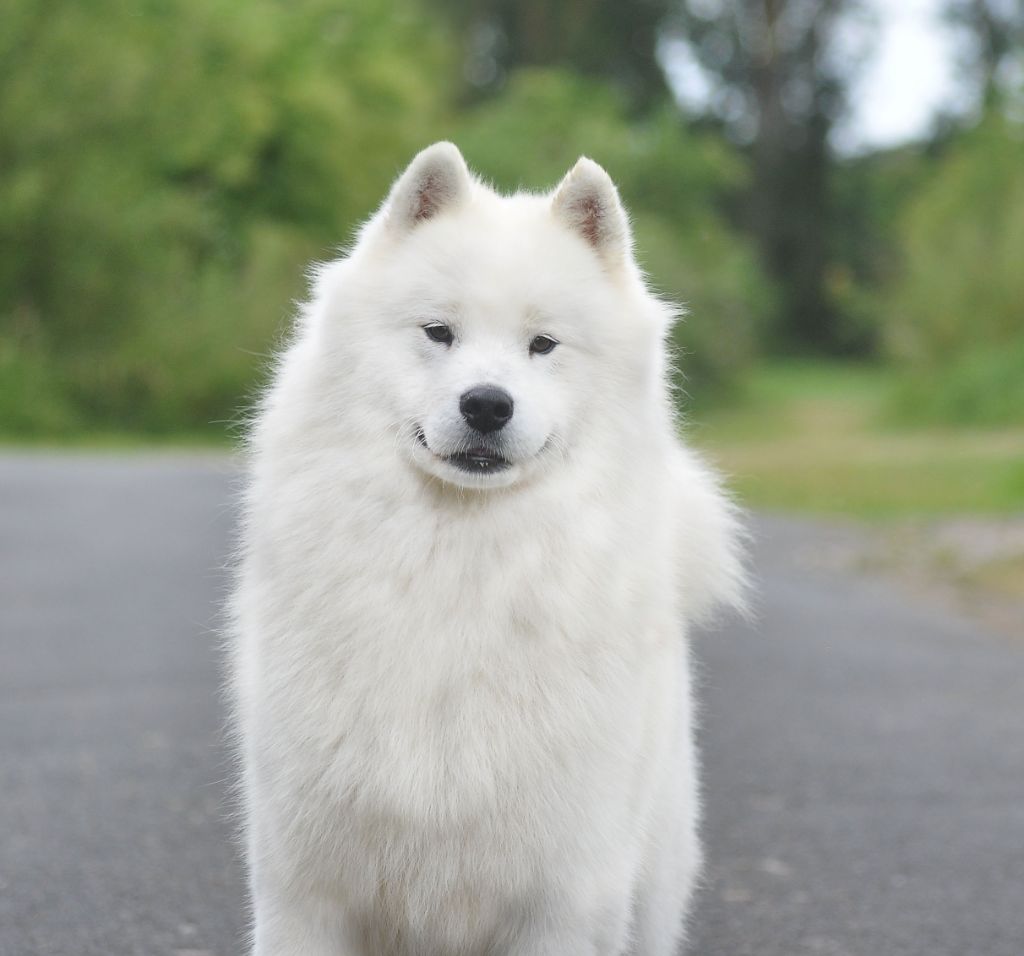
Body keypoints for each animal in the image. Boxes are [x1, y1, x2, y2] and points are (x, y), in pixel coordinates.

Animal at [230, 144, 745, 956]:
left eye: (544, 345)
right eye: (438, 331)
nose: (486, 404)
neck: (461, 560)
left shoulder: (562, 900)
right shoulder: (306, 891)